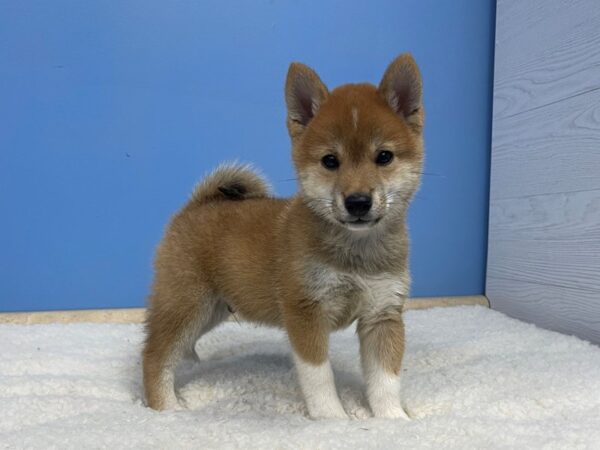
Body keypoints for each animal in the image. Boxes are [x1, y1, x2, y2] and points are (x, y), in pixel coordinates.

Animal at [141, 54, 424, 420]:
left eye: (384, 157)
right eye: (330, 161)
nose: (358, 202)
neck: (355, 251)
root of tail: (197, 204)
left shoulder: (383, 315)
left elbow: (386, 380)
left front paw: (393, 420)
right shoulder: (306, 313)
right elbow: (319, 377)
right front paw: (332, 419)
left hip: (212, 310)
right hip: (187, 303)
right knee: (155, 354)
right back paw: (167, 409)